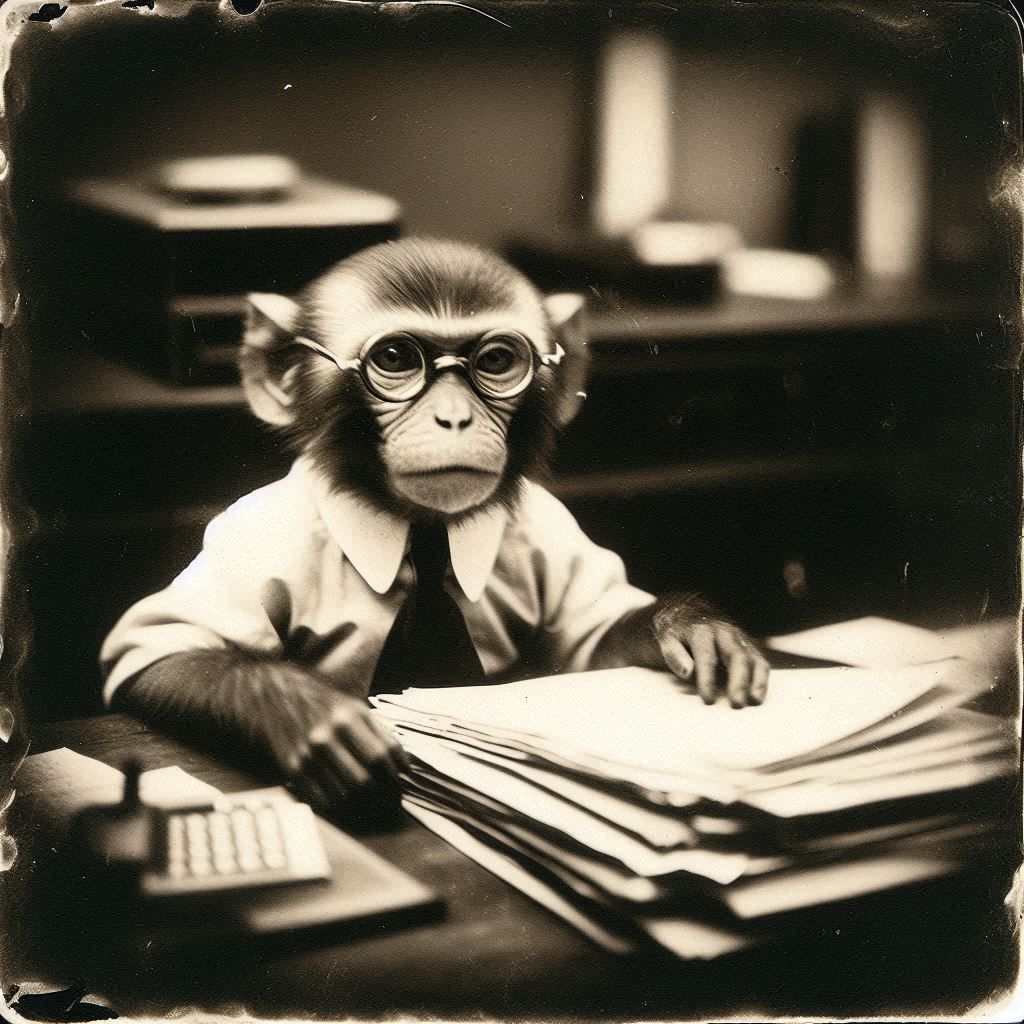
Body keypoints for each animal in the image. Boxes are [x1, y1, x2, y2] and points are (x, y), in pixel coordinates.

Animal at [101, 238, 769, 817]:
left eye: (497, 360)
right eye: (396, 359)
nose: (453, 418)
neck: (419, 535)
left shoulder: (549, 529)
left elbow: (591, 644)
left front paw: (693, 630)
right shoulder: (257, 537)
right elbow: (165, 652)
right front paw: (314, 721)